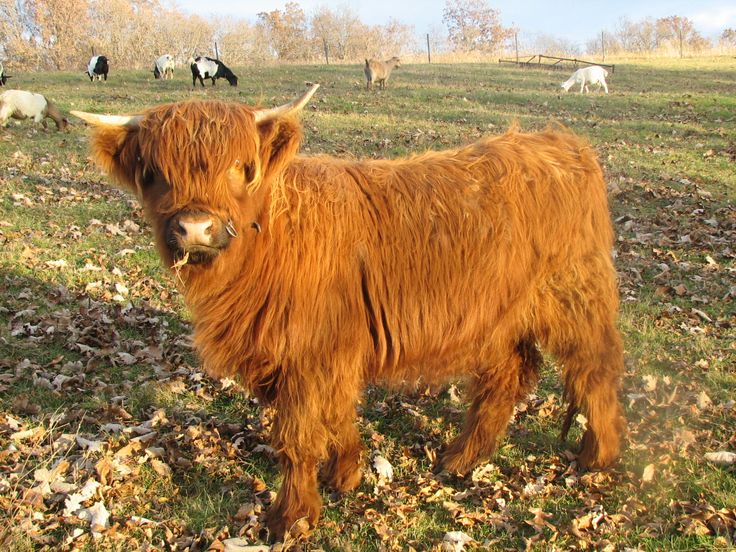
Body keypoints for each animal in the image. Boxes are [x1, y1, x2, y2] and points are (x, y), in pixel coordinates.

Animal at [72, 84, 624, 540]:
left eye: (241, 166)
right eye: (154, 174)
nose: (194, 228)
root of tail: (563, 142)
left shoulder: (308, 354)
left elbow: (296, 439)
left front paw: (290, 517)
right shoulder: (326, 354)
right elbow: (336, 414)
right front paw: (346, 475)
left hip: (574, 298)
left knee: (594, 370)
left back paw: (597, 456)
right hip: (498, 317)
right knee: (505, 379)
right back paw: (461, 459)